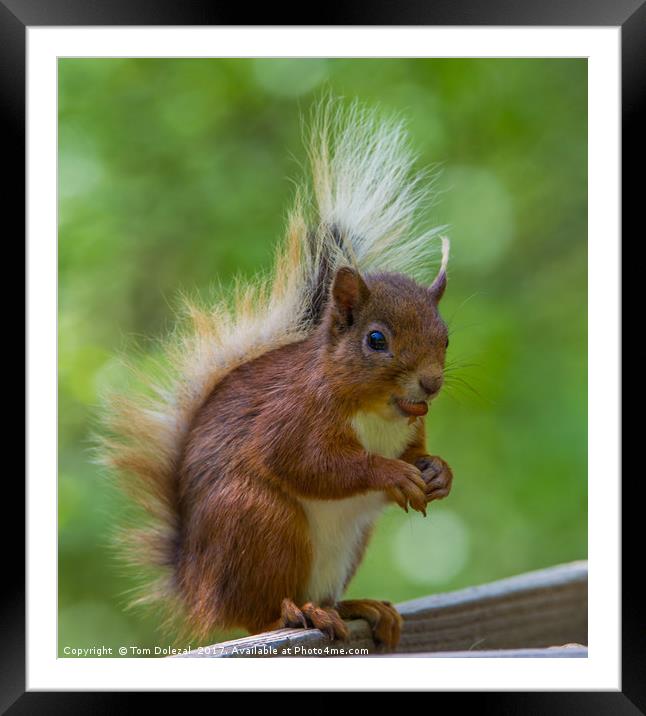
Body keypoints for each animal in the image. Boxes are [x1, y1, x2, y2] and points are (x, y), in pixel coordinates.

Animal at [101, 99, 456, 648]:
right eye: (376, 340)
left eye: (446, 336)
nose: (431, 383)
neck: (375, 414)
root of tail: (196, 586)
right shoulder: (291, 417)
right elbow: (311, 464)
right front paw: (390, 472)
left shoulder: (407, 429)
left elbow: (413, 454)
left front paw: (437, 472)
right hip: (259, 519)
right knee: (256, 614)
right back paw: (295, 614)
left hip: (346, 544)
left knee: (324, 595)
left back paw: (357, 606)